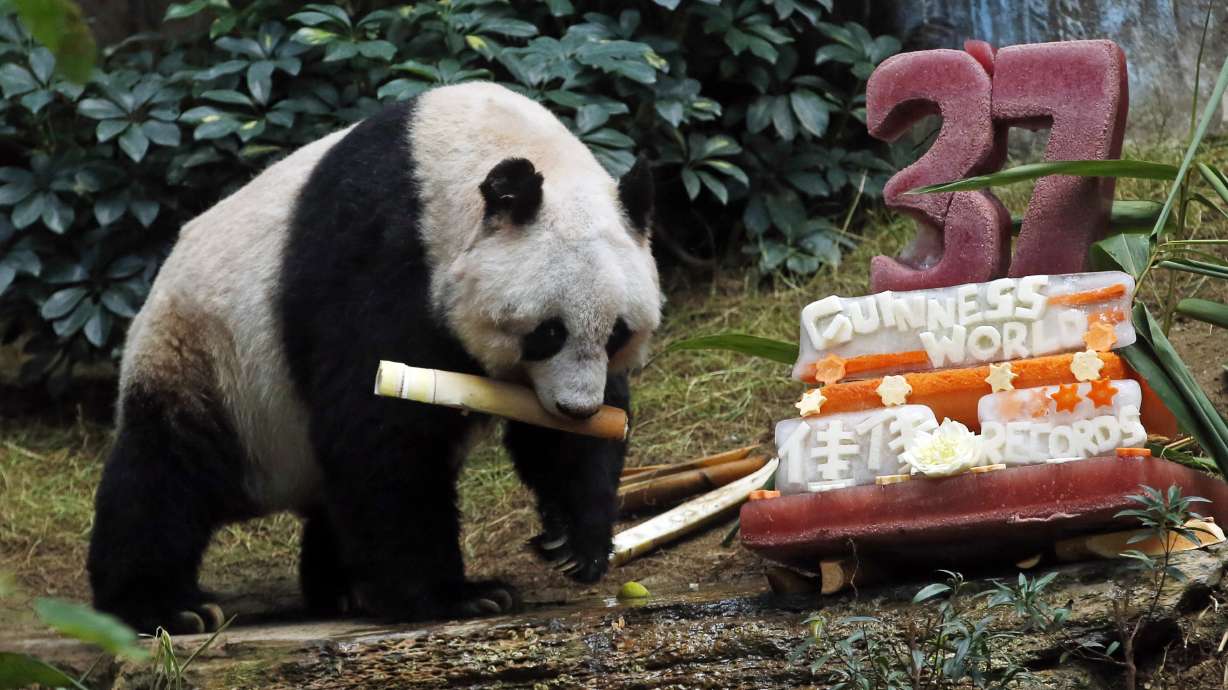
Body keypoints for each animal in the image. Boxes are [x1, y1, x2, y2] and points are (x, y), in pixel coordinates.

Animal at [86, 82, 662, 634]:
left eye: (616, 333)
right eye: (547, 332)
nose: (576, 409)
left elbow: (559, 439)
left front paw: (574, 543)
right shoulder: (382, 254)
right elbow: (381, 429)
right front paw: (456, 595)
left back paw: (342, 587)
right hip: (206, 360)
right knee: (165, 475)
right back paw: (164, 608)